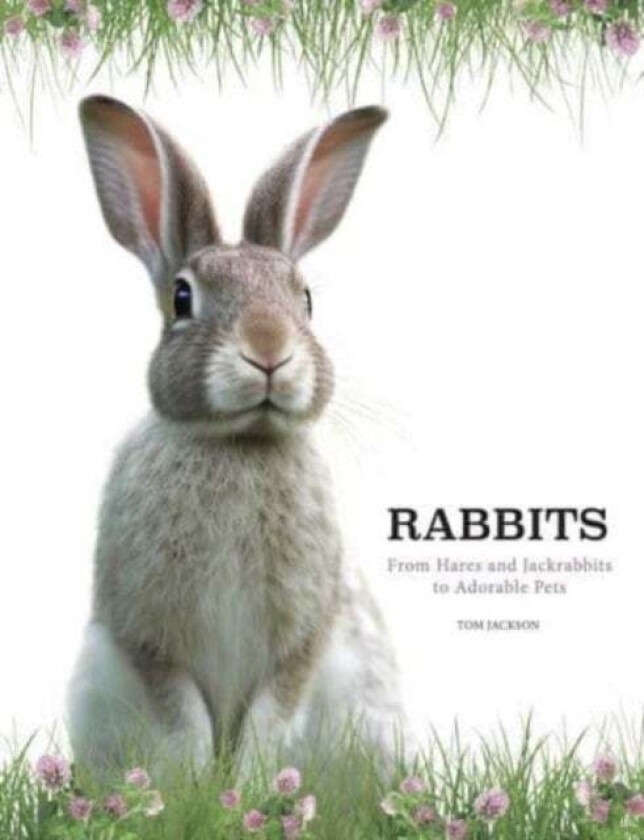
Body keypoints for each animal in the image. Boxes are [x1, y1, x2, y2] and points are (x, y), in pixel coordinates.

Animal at [67, 95, 409, 774]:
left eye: (305, 300)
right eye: (182, 297)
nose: (269, 350)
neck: (239, 443)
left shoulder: (303, 639)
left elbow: (271, 718)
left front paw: (248, 786)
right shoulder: (148, 639)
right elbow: (184, 721)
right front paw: (201, 785)